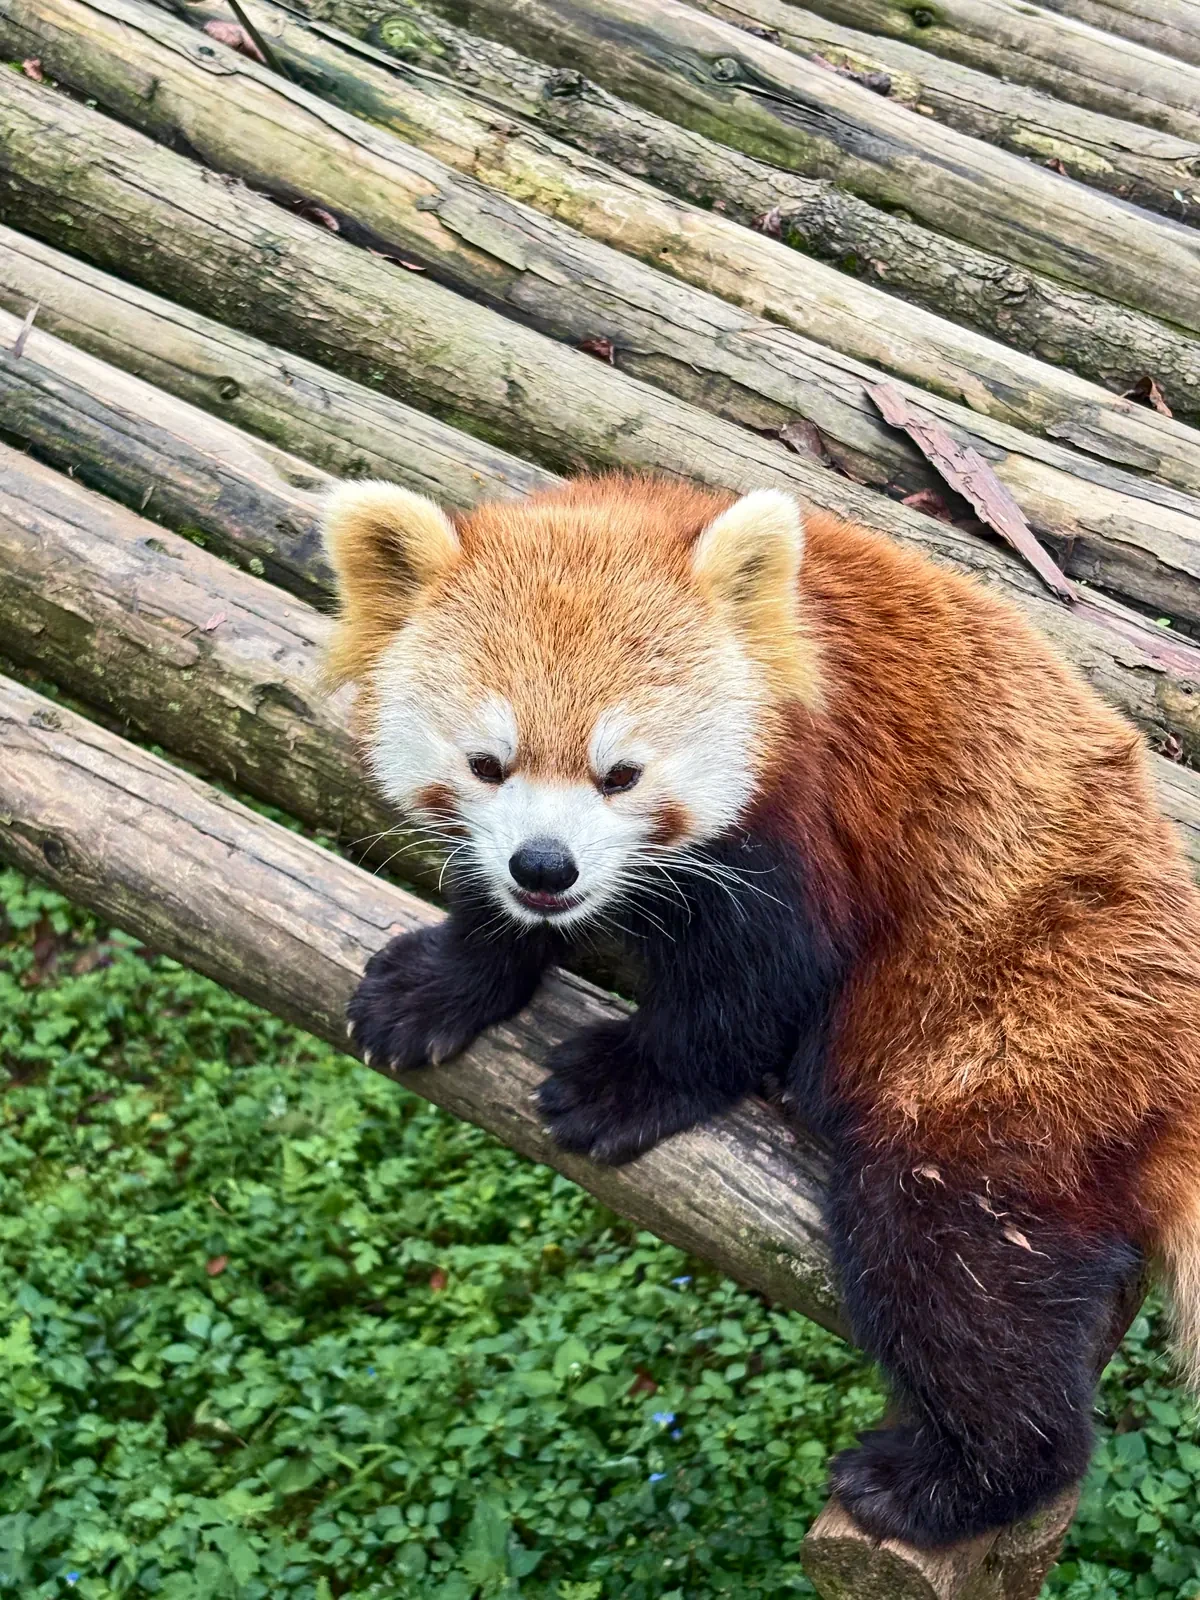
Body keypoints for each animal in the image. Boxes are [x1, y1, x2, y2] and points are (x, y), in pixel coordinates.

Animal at [321, 471, 1200, 1547]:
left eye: (622, 774)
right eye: (489, 764)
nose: (546, 867)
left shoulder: (802, 821)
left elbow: (751, 987)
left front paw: (624, 1084)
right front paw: (444, 981)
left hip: (1019, 1032)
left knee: (954, 1265)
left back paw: (940, 1481)